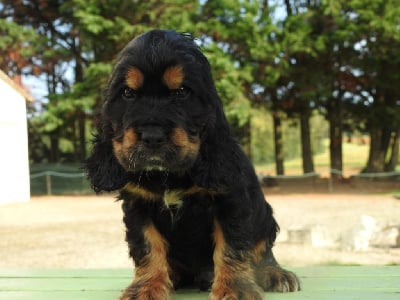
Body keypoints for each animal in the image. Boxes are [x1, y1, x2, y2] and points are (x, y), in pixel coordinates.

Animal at [87, 29, 300, 300]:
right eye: (127, 93)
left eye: (181, 92)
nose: (152, 136)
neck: (167, 175)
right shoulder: (137, 205)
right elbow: (147, 246)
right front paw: (146, 286)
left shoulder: (230, 200)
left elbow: (232, 245)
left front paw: (235, 288)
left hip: (265, 217)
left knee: (262, 250)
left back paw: (273, 273)